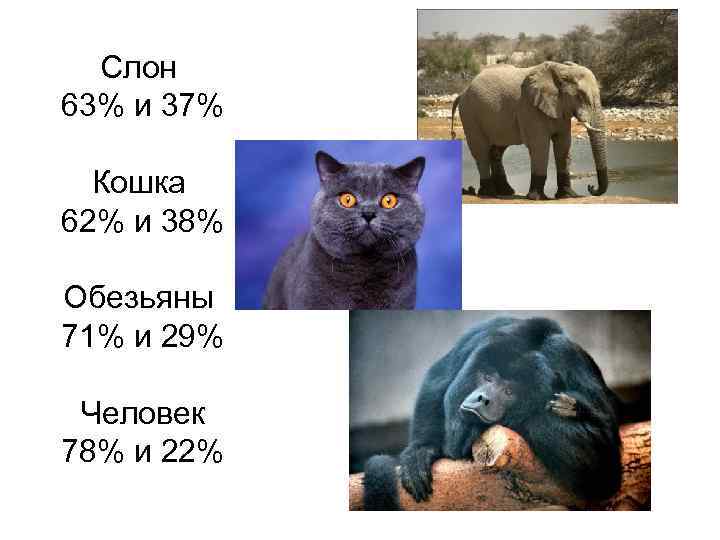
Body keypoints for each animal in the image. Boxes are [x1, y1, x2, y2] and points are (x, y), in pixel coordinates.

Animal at [451, 61, 608, 200]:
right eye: (581, 95)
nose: (591, 187)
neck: (562, 70)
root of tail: (463, 92)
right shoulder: (530, 108)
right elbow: (540, 145)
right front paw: (537, 198)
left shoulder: (560, 109)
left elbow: (563, 144)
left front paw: (568, 196)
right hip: (470, 115)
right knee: (481, 151)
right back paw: (489, 193)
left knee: (496, 152)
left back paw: (505, 192)